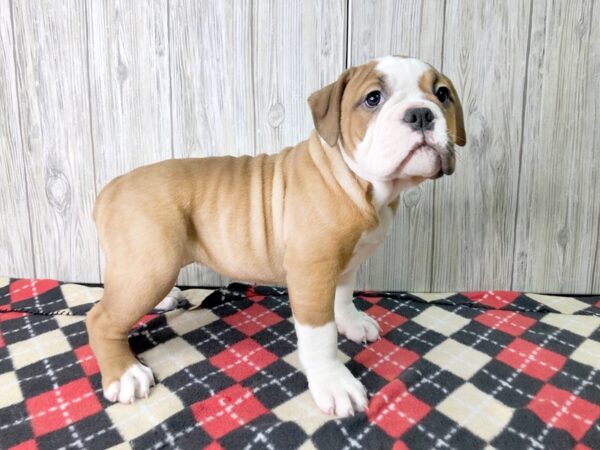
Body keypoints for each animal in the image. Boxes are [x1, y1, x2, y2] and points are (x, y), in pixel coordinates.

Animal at [86, 56, 466, 418]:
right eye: (373, 98)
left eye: (442, 94)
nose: (421, 113)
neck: (357, 181)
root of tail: (111, 187)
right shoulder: (312, 275)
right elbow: (320, 336)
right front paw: (334, 382)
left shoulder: (346, 265)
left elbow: (343, 298)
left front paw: (353, 323)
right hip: (152, 265)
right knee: (101, 318)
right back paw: (125, 373)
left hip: (141, 268)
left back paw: (164, 302)